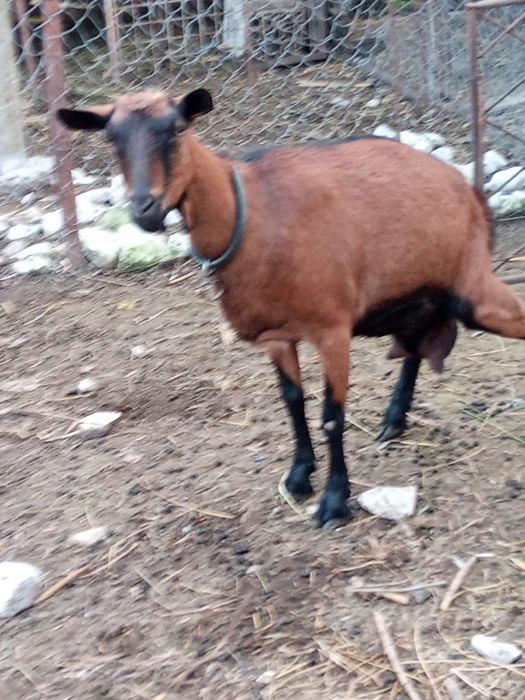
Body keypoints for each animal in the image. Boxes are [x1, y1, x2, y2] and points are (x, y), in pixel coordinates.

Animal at [58, 89, 525, 526]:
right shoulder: (277, 337)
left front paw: (334, 502)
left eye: (176, 128)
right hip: (415, 297)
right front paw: (299, 476)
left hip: (473, 289)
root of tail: (469, 190)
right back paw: (394, 419)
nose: (144, 209)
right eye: (111, 138)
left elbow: (332, 415)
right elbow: (293, 402)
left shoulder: (332, 330)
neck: (251, 216)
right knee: (414, 346)